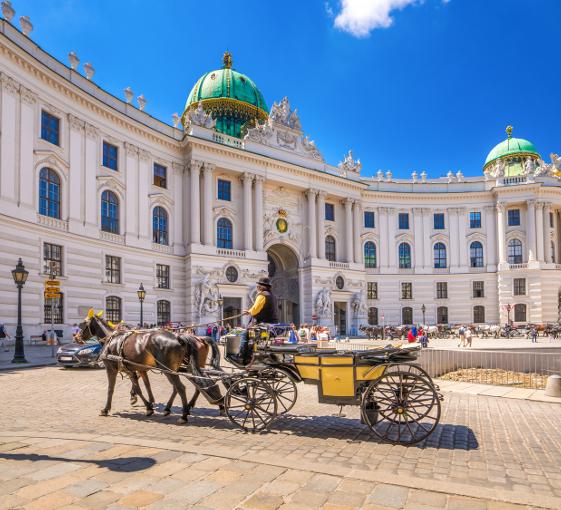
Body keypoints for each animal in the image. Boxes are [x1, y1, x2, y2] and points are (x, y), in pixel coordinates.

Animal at [79, 310, 223, 422]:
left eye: (83, 324)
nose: (76, 337)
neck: (112, 339)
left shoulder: (113, 369)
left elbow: (112, 389)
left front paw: (106, 409)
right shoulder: (137, 369)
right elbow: (144, 386)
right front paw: (149, 404)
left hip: (170, 369)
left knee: (181, 387)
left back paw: (184, 414)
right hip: (182, 368)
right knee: (196, 384)